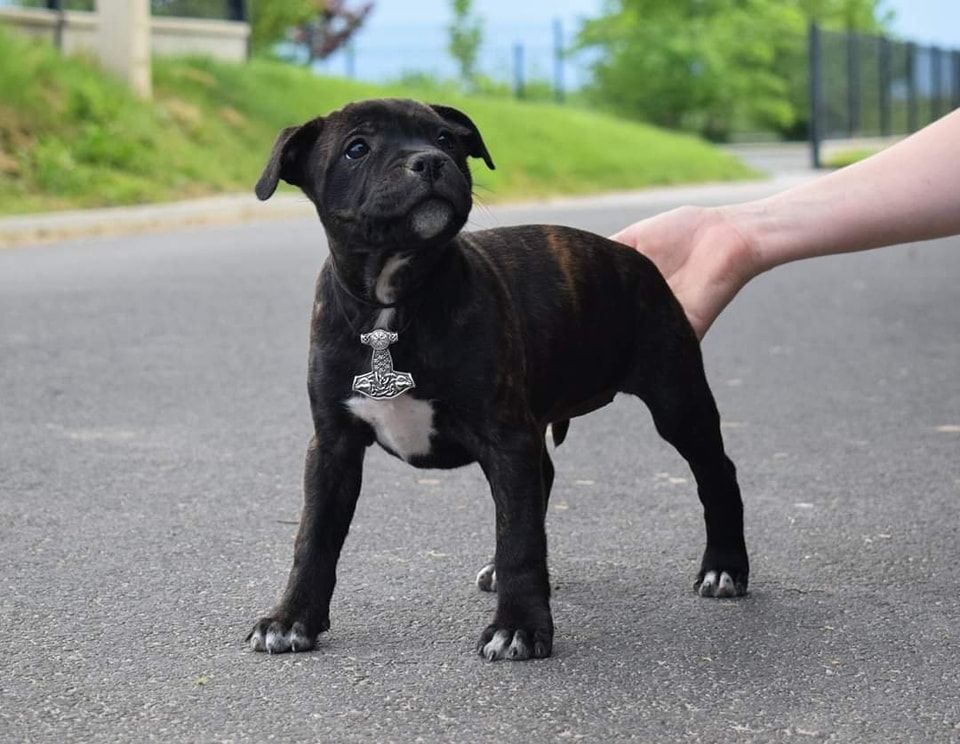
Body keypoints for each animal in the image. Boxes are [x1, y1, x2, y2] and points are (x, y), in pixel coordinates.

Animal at [248, 99, 752, 664]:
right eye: (357, 148)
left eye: (446, 138)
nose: (430, 161)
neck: (394, 300)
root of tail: (634, 260)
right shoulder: (333, 446)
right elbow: (314, 537)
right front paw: (291, 618)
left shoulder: (505, 437)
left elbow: (519, 538)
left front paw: (519, 627)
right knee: (546, 476)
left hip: (677, 398)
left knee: (716, 472)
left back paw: (725, 567)